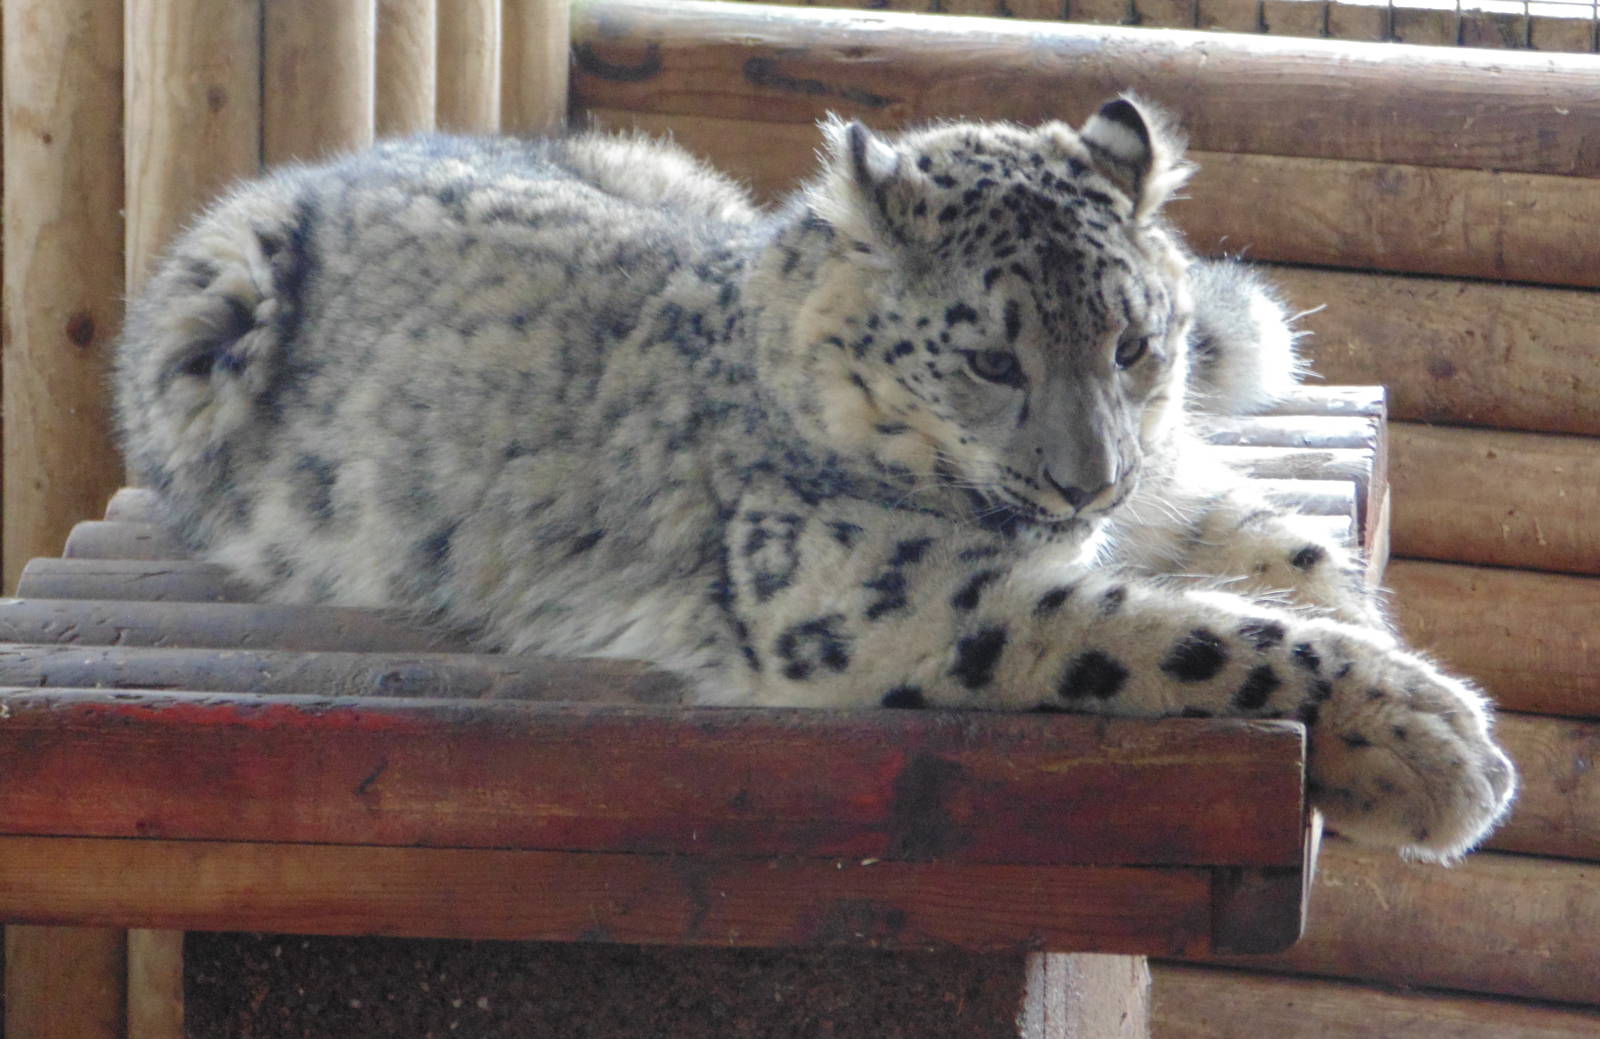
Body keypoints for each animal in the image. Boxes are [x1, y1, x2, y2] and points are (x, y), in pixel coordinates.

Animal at [114, 97, 1515, 862]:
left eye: (1133, 340)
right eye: (992, 354)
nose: (1087, 484)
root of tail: (319, 165)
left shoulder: (1172, 492)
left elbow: (1295, 560)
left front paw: (1394, 671)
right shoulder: (895, 597)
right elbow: (1182, 635)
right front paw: (1433, 746)